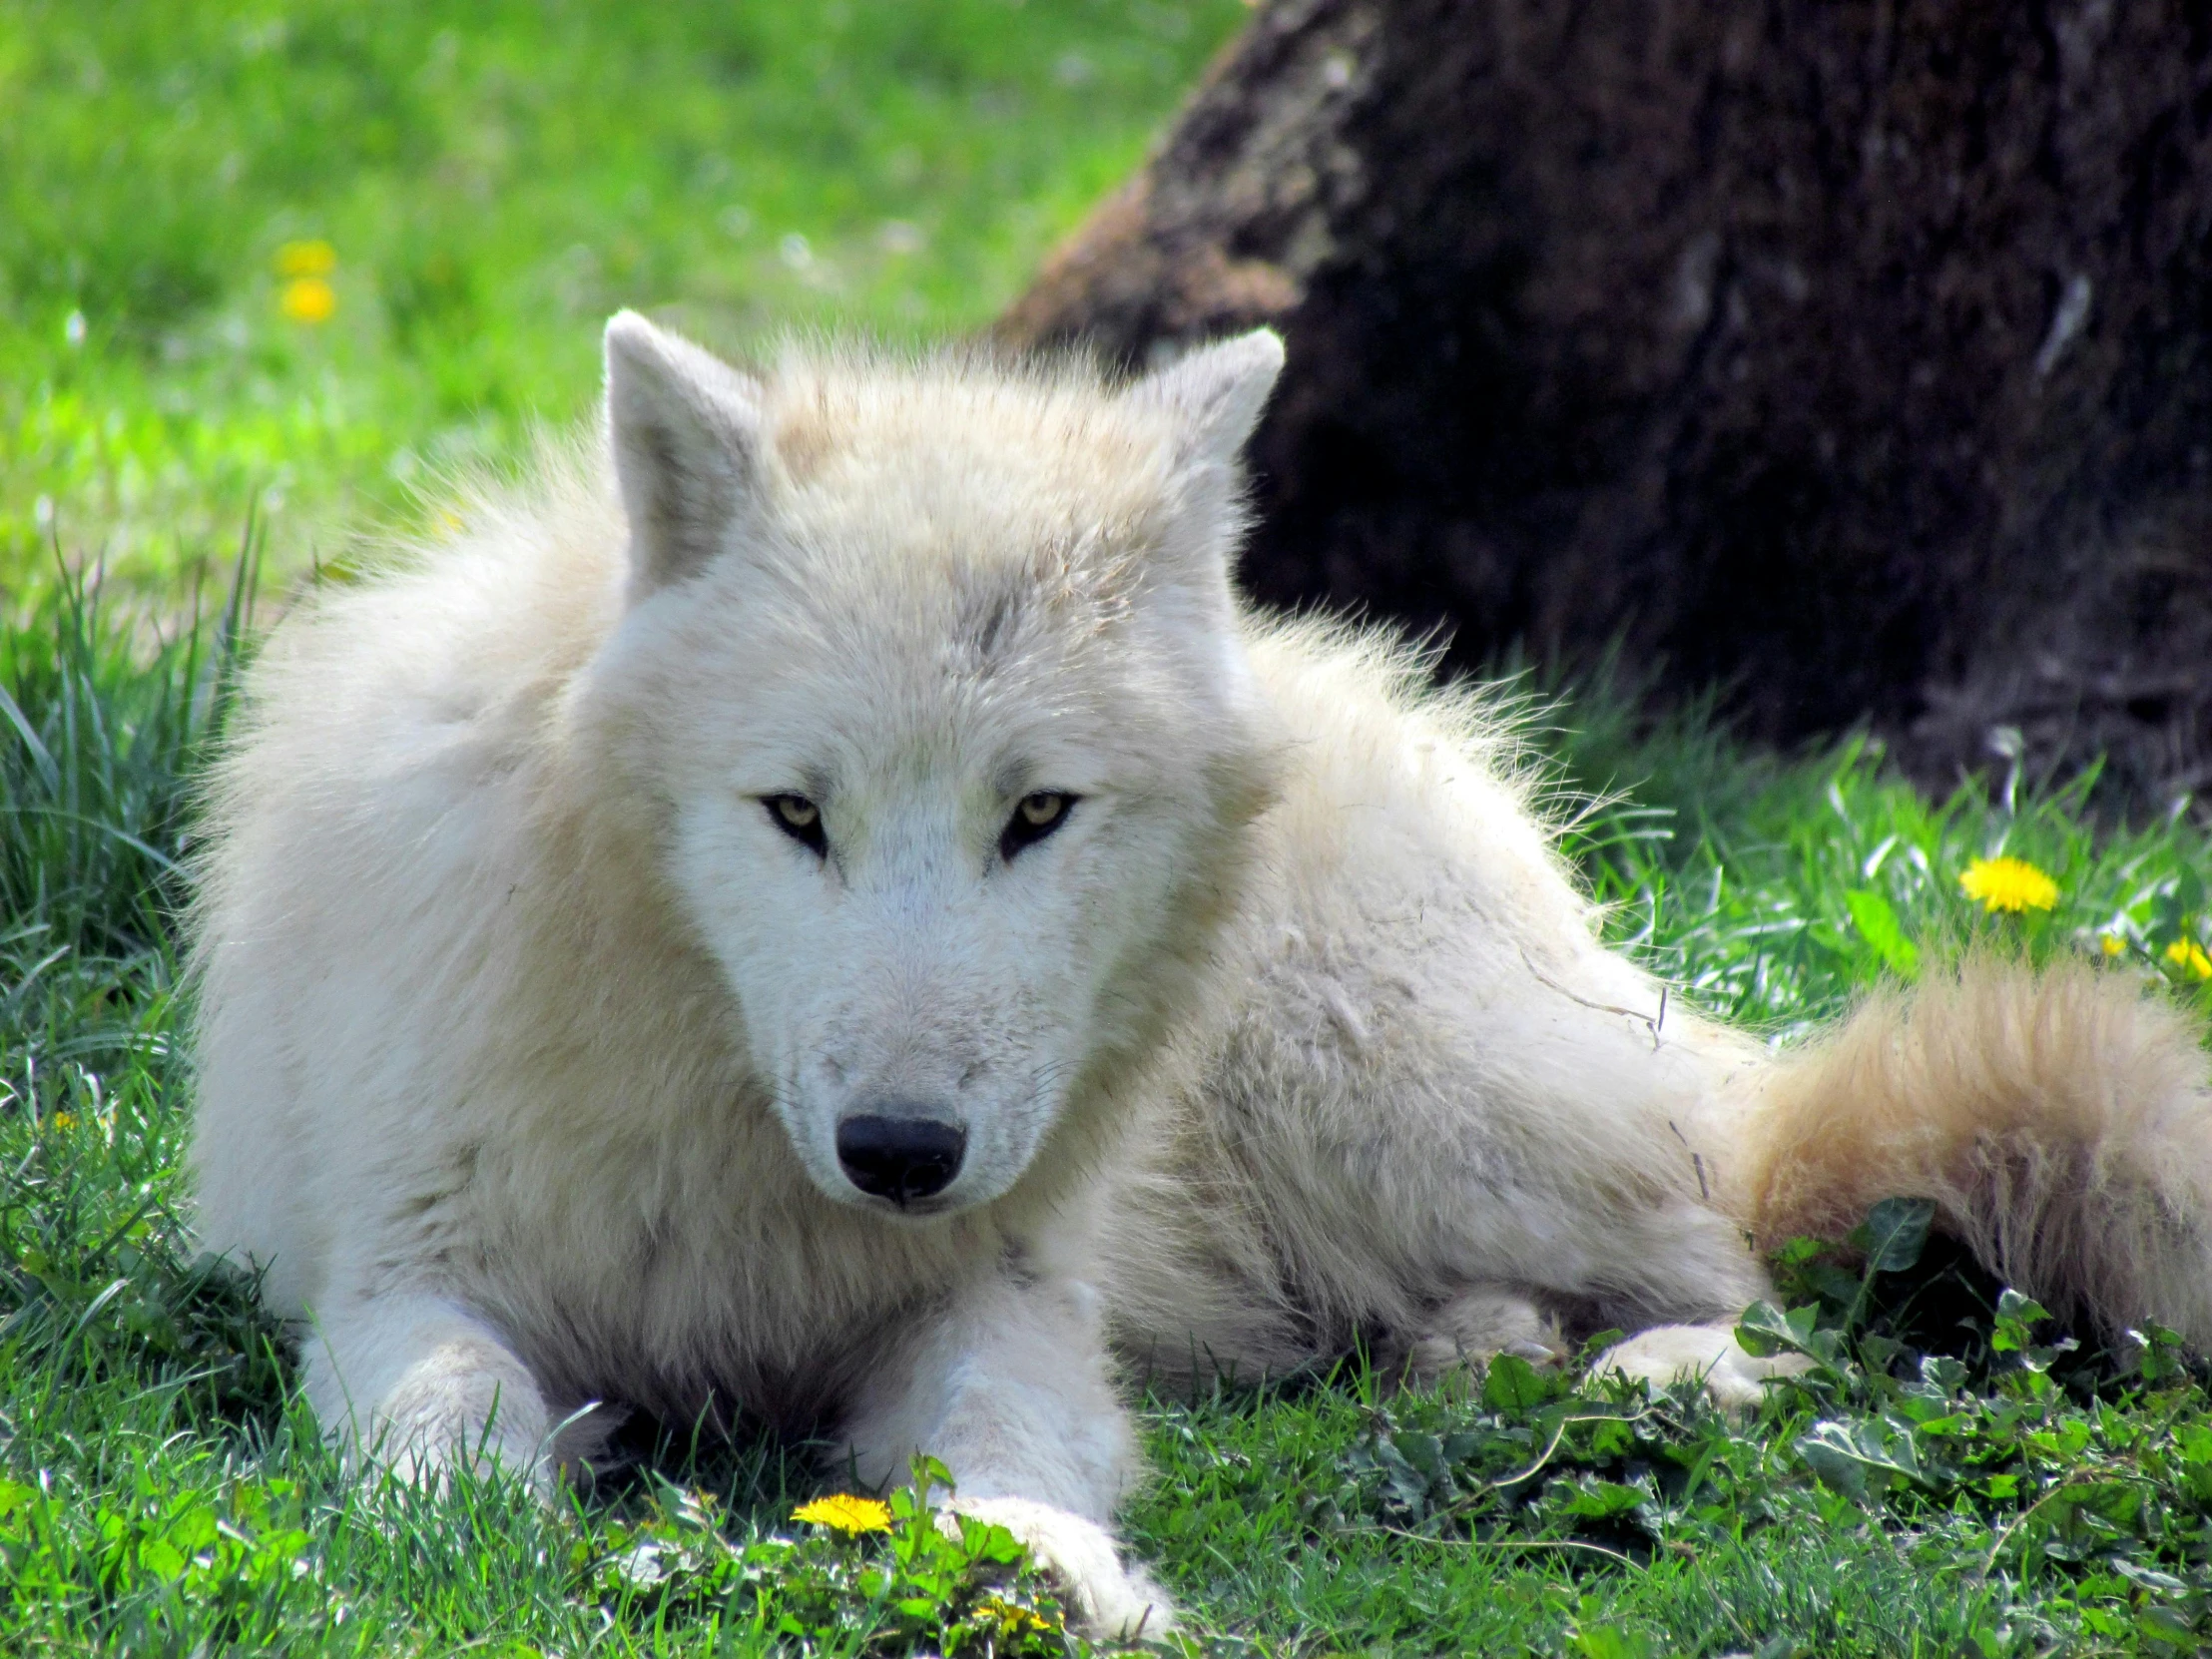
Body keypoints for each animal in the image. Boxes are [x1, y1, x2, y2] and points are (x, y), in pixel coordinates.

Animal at [195, 311, 2212, 1636]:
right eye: (793, 813)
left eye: (1038, 813)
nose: (903, 1156)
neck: (733, 1146)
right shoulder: (404, 1274)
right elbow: (454, 1417)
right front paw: (499, 1540)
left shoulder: (1001, 1296)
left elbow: (1006, 1440)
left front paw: (1050, 1569)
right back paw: (1479, 1359)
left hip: (1399, 1101)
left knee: (1756, 1269)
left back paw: (1653, 1380)